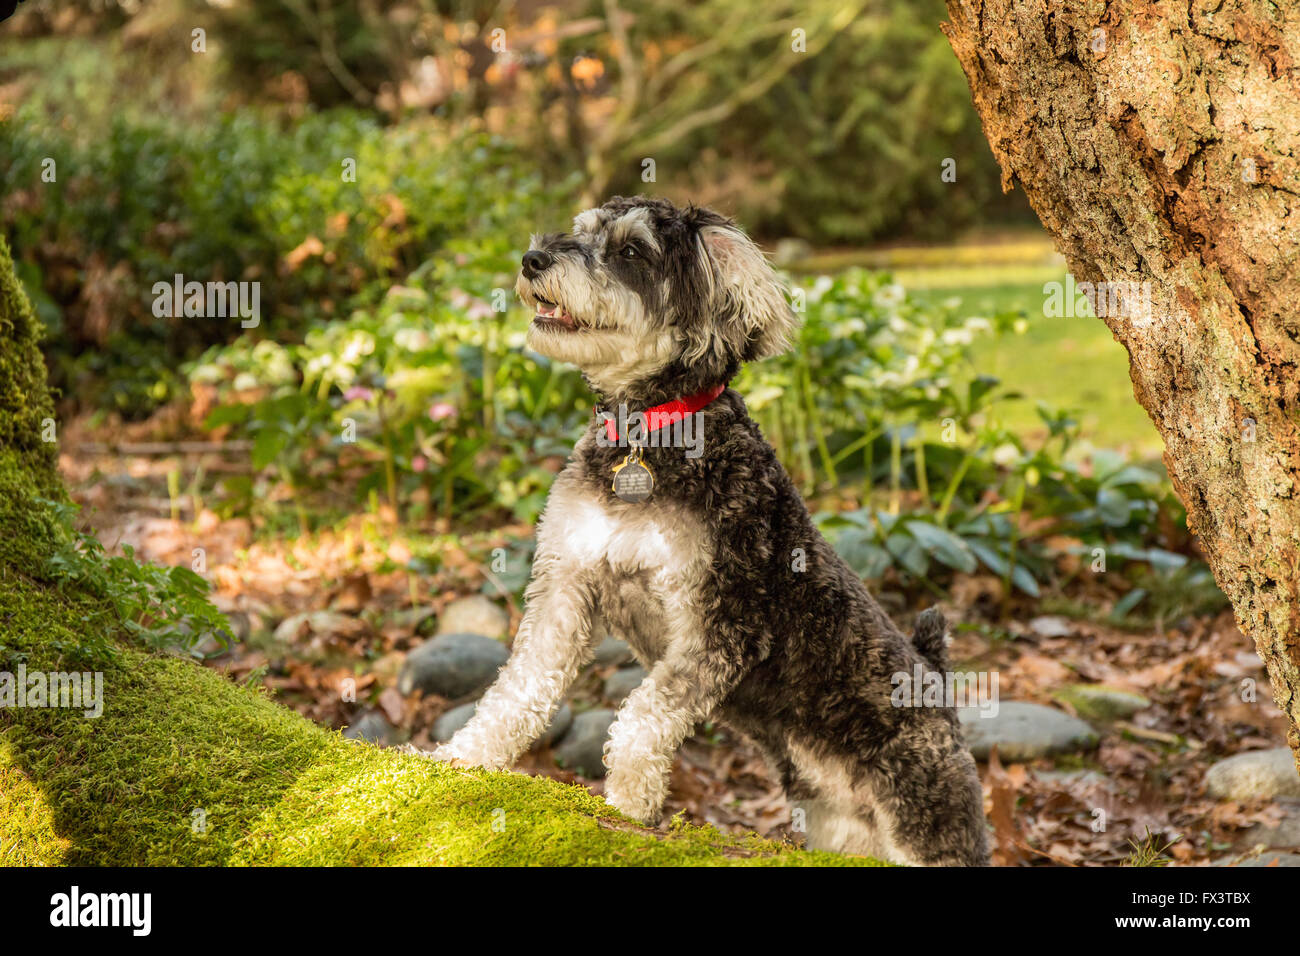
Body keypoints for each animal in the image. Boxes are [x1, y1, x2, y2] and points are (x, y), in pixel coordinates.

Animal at [431, 196, 987, 868]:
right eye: (580, 231)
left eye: (632, 251)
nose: (533, 259)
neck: (648, 436)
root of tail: (938, 683)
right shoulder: (565, 589)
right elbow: (517, 689)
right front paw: (459, 760)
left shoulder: (723, 622)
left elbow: (643, 716)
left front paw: (628, 806)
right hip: (840, 824)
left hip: (926, 811)